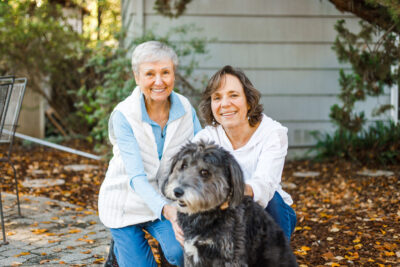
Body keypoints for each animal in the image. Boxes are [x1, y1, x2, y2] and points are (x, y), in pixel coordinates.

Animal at [162, 141, 296, 266]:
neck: (206, 215)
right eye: (183, 166)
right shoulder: (191, 253)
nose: (177, 191)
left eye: (204, 172)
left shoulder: (230, 256)